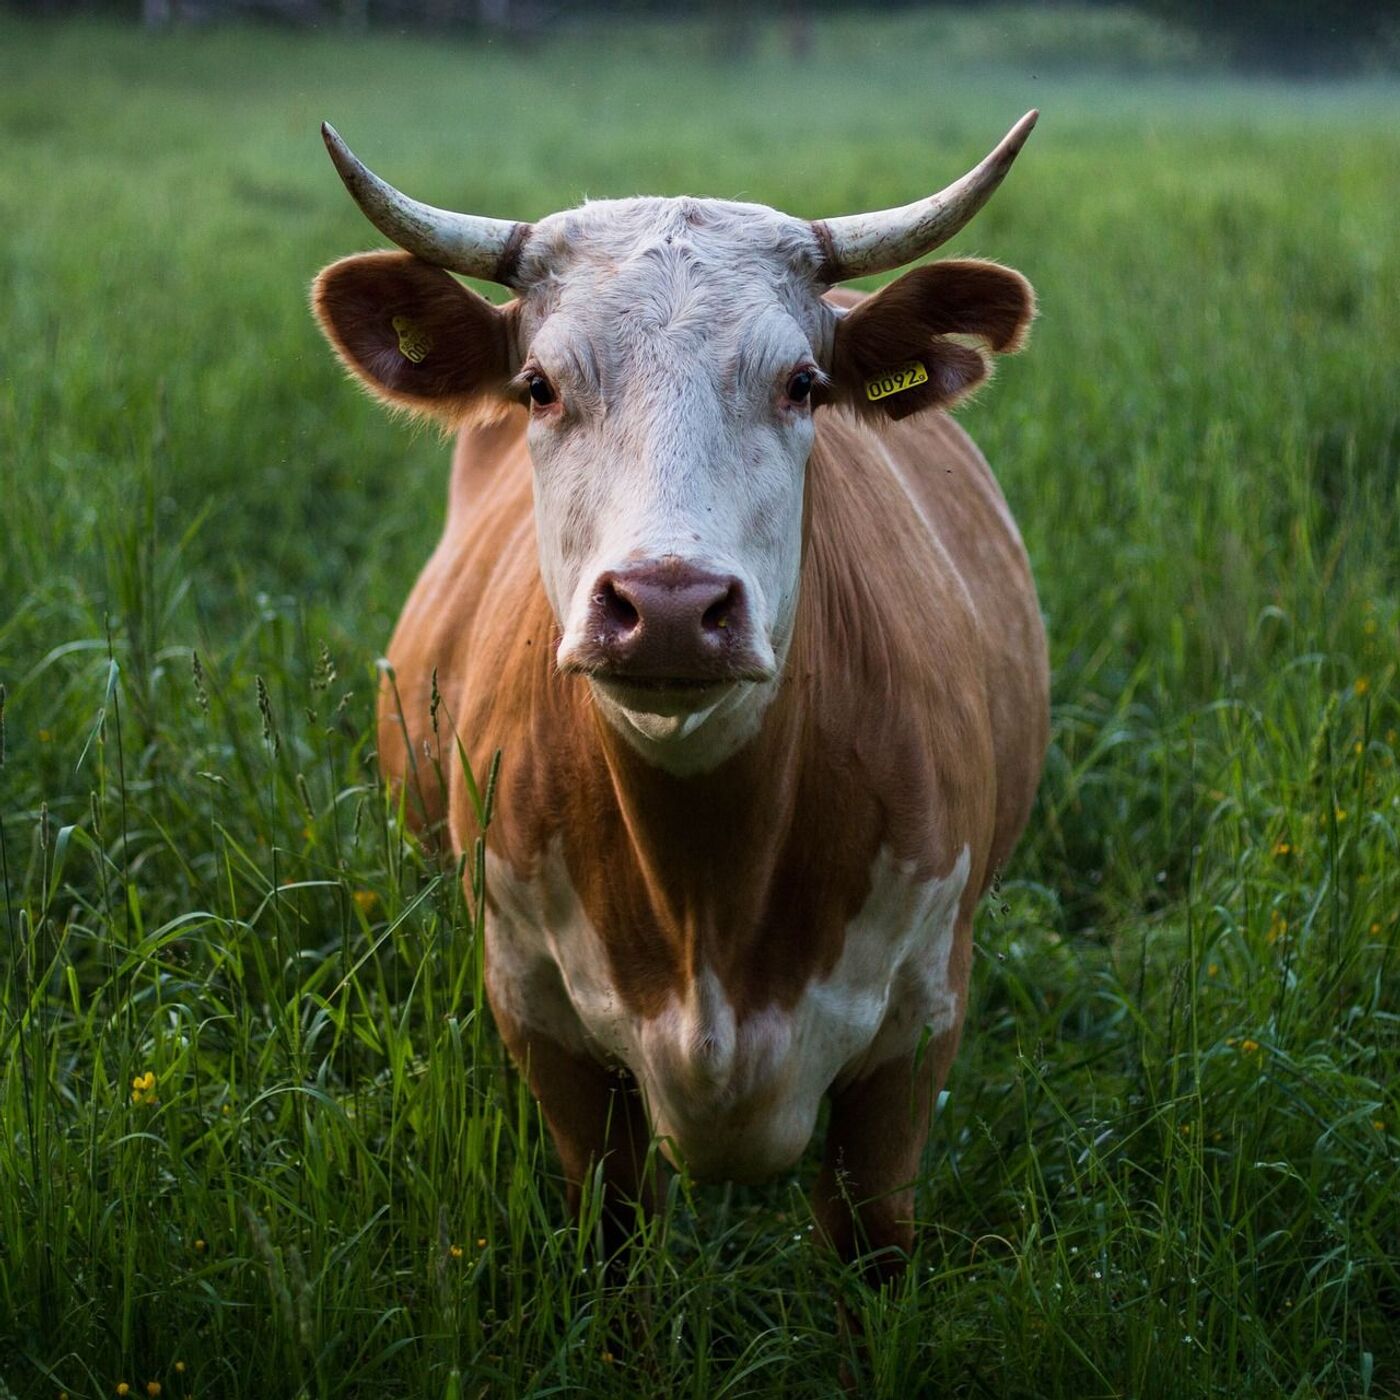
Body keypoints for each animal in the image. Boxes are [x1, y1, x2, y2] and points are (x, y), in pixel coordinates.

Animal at [312, 114, 1047, 1282]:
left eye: (802, 384)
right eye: (538, 384)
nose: (665, 604)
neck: (709, 889)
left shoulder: (916, 1036)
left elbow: (869, 1247)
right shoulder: (543, 1025)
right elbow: (615, 1238)